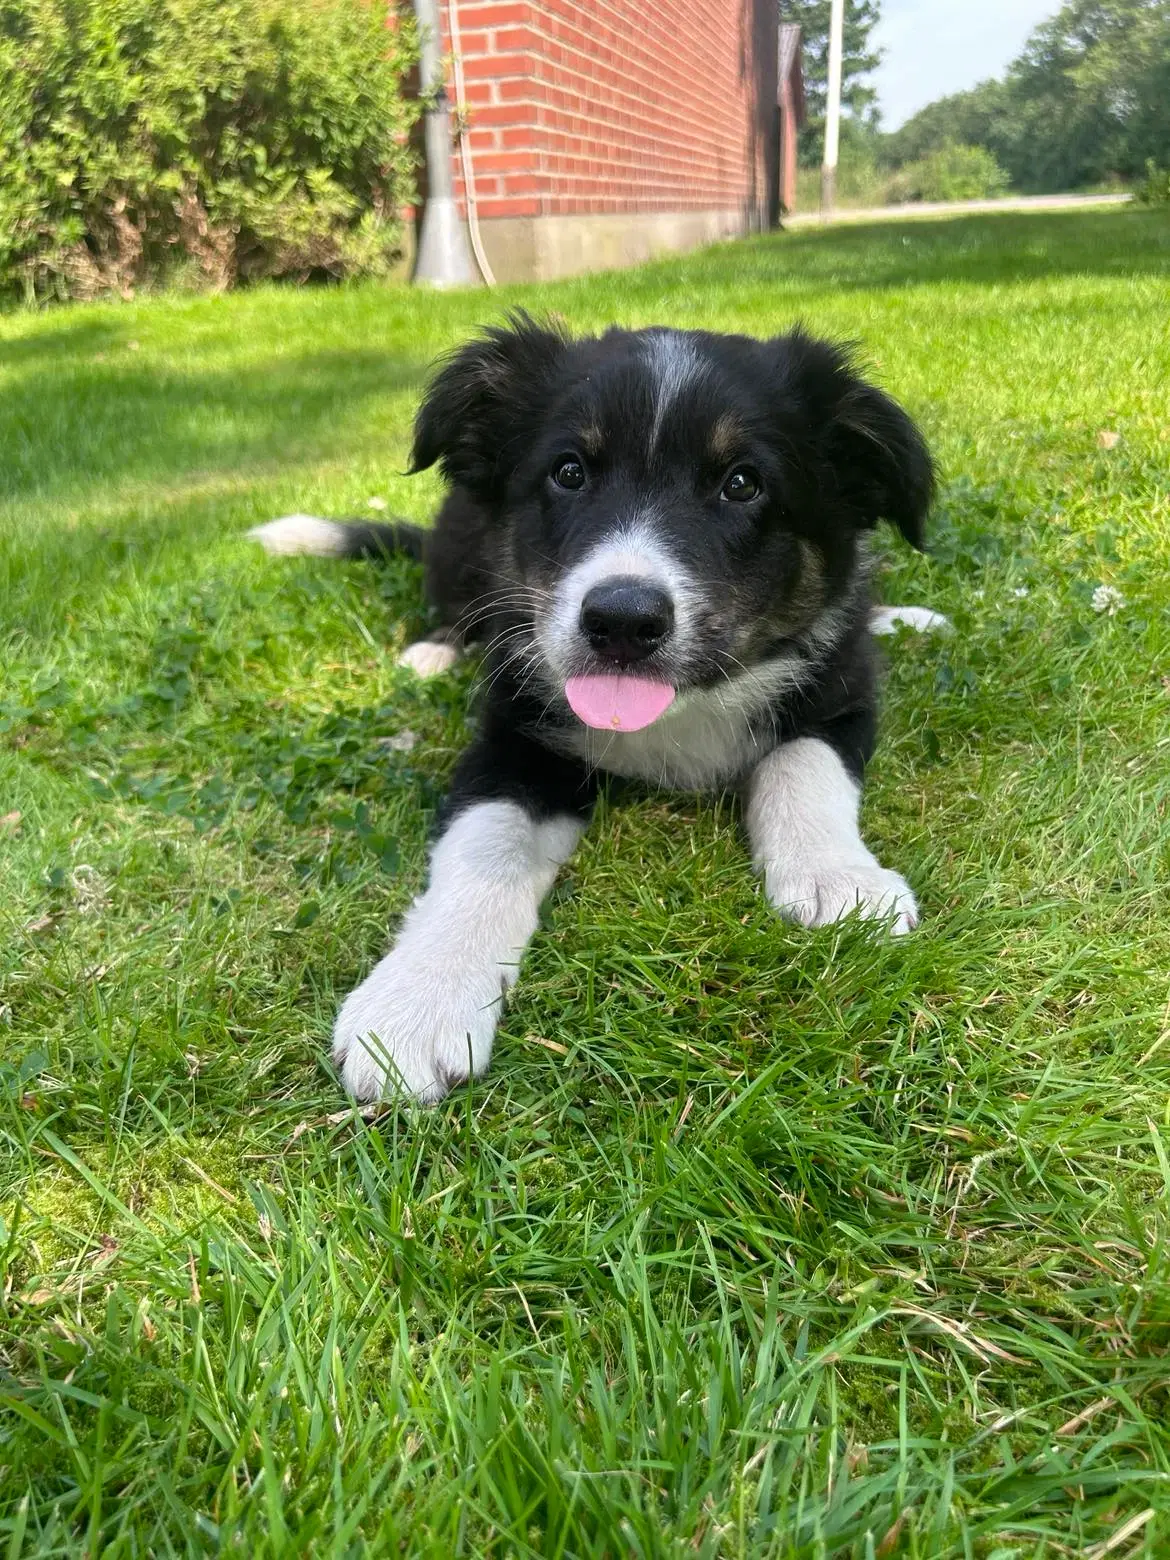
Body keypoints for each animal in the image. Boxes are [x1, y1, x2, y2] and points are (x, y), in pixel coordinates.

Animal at [254, 310, 942, 1104]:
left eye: (742, 483)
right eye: (569, 472)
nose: (621, 620)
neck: (677, 712)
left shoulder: (842, 695)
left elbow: (804, 765)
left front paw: (840, 880)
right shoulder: (514, 734)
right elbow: (486, 845)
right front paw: (417, 1004)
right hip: (459, 546)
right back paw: (431, 652)